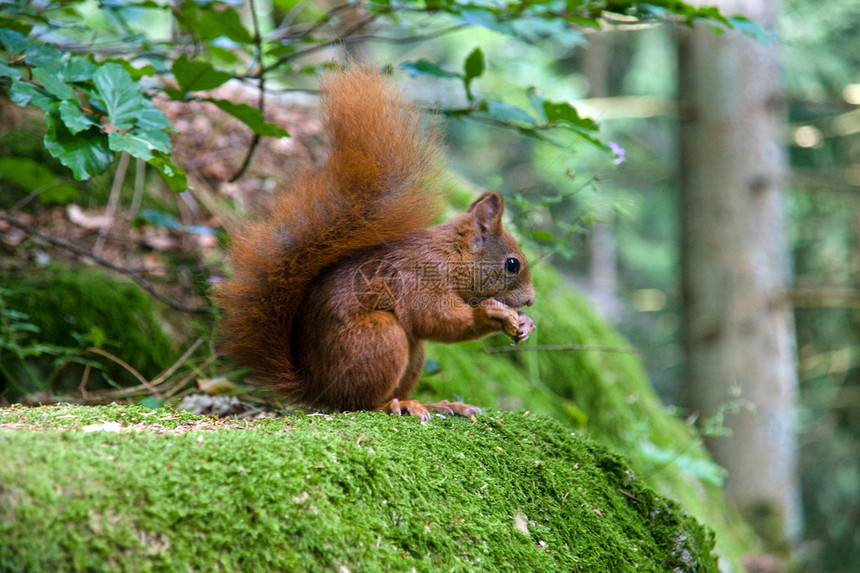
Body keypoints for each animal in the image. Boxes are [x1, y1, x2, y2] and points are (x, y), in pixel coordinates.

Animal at [215, 67, 536, 420]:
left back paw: (438, 404)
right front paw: (491, 314)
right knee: (359, 404)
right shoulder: (421, 277)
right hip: (381, 337)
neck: (453, 255)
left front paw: (525, 323)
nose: (532, 300)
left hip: (412, 351)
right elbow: (432, 317)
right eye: (512, 264)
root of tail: (316, 387)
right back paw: (396, 404)